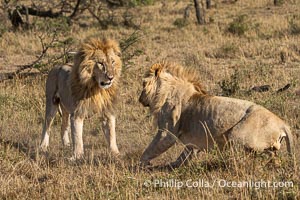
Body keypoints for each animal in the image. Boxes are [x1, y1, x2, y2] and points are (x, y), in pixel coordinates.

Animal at [139, 61, 294, 168]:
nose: (139, 99)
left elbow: (151, 149)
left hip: (236, 135)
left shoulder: (167, 132)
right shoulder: (192, 143)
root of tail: (283, 123)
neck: (165, 91)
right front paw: (172, 166)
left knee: (256, 156)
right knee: (272, 155)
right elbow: (185, 155)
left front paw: (140, 166)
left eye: (143, 84)